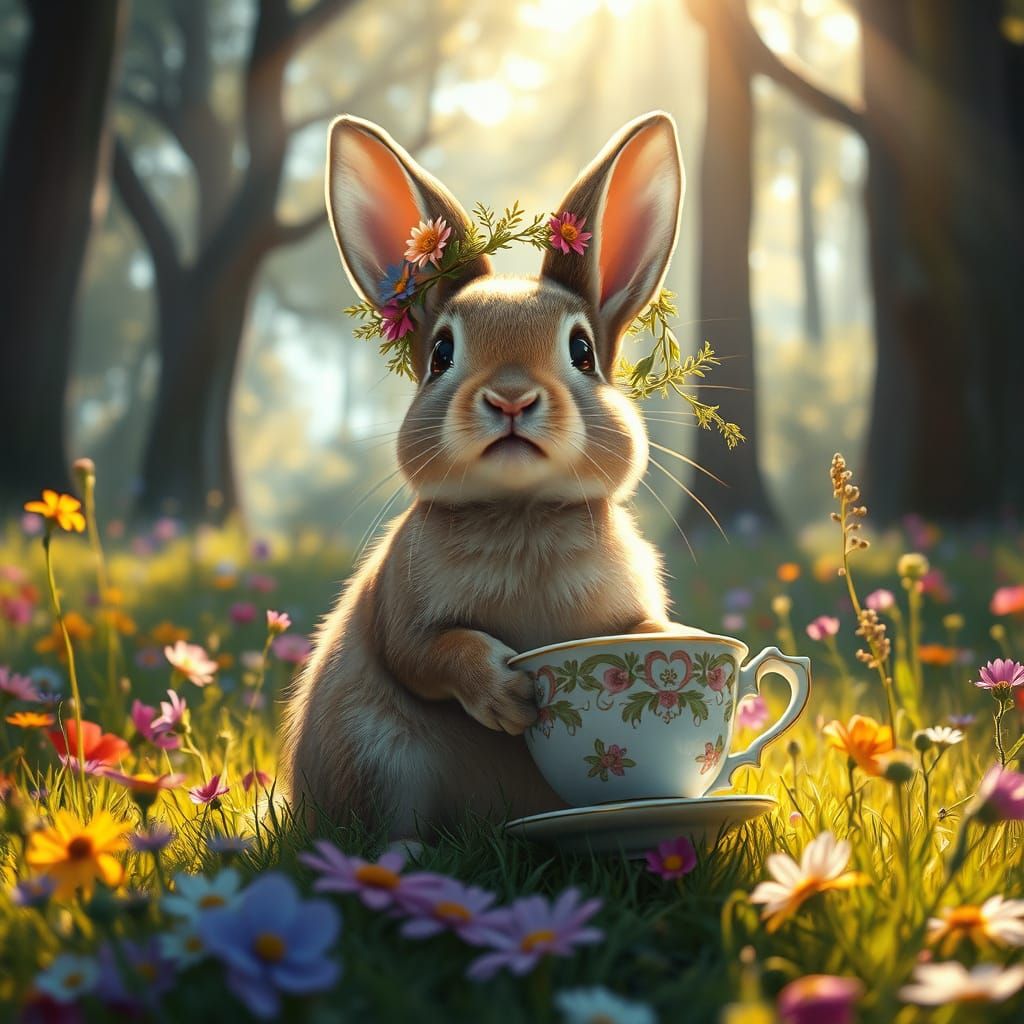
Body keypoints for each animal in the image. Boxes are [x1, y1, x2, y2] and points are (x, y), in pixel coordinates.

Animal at [279, 110, 686, 839]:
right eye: (442, 352)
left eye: (582, 350)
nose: (512, 399)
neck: (521, 513)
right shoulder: (403, 612)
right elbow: (430, 655)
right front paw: (508, 696)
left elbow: (640, 633)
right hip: (378, 756)